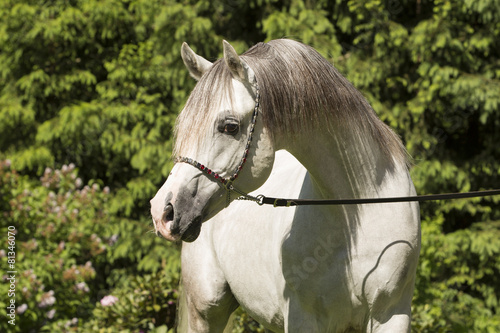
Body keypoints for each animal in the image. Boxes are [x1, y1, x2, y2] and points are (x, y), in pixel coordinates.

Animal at [150, 39, 420, 332]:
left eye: (230, 127)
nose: (163, 211)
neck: (360, 209)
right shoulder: (303, 318)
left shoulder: (391, 315)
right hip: (206, 311)